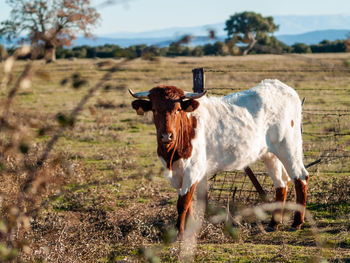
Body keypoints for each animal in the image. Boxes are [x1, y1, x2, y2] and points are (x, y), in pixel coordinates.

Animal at [131, 80, 308, 241]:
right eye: (154, 109)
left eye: (178, 109)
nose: (166, 136)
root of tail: (284, 87)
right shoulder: (176, 174)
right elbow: (188, 203)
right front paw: (188, 230)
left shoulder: (193, 170)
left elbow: (183, 203)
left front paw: (180, 234)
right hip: (269, 154)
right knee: (281, 184)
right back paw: (273, 224)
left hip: (289, 146)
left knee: (300, 178)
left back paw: (296, 223)